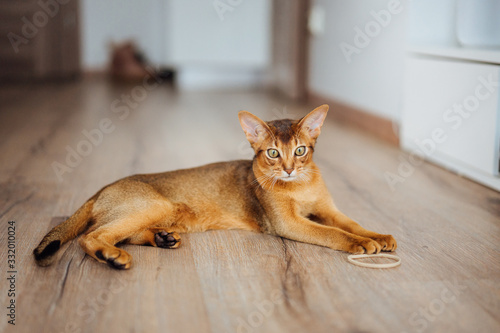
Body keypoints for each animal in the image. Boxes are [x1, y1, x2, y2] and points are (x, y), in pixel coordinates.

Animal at [33, 105, 396, 268]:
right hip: (154, 204)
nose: (289, 170)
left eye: (301, 150)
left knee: (119, 232)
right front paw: (360, 245)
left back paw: (162, 239)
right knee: (93, 236)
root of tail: (100, 190)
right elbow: (332, 233)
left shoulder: (328, 209)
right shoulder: (287, 223)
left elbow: (351, 223)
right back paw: (111, 256)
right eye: (273, 153)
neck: (300, 187)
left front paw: (379, 236)